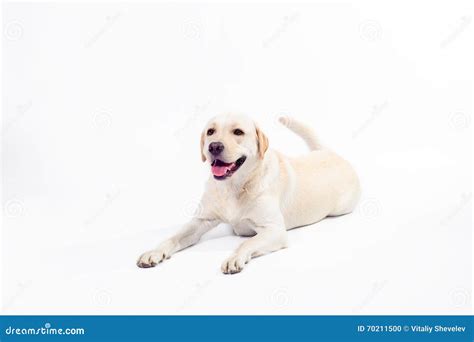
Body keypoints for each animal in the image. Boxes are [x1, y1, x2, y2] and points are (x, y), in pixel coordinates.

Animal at [137, 113, 360, 274]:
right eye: (210, 131)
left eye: (238, 132)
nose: (214, 146)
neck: (233, 186)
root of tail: (329, 152)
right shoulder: (201, 220)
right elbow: (173, 237)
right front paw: (154, 252)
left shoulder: (274, 230)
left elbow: (247, 242)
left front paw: (234, 257)